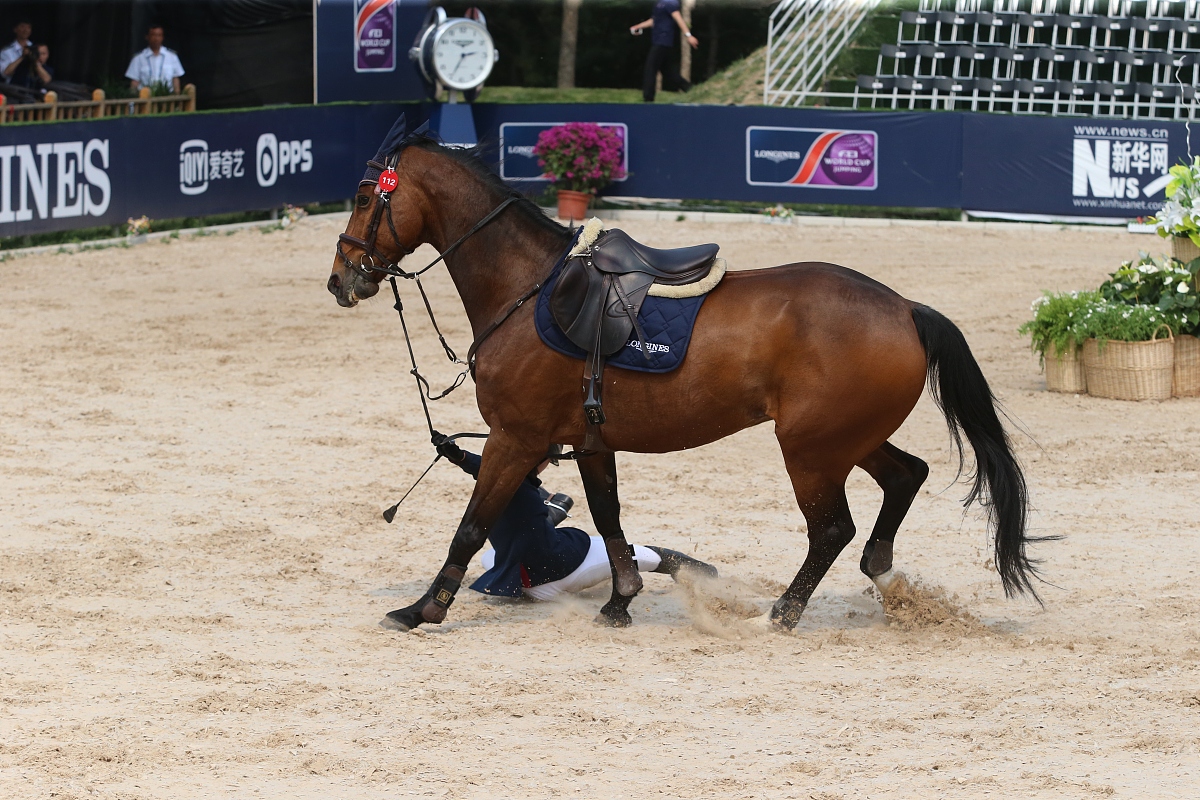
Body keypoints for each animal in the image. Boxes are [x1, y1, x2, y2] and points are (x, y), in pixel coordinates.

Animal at [327, 116, 1041, 632]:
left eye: (364, 197)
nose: (341, 280)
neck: (528, 290)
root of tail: (902, 307)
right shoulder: (589, 441)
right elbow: (610, 518)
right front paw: (621, 601)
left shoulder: (515, 439)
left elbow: (472, 526)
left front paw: (422, 610)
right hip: (846, 438)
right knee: (904, 477)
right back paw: (888, 581)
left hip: (811, 448)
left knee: (833, 527)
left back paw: (783, 614)